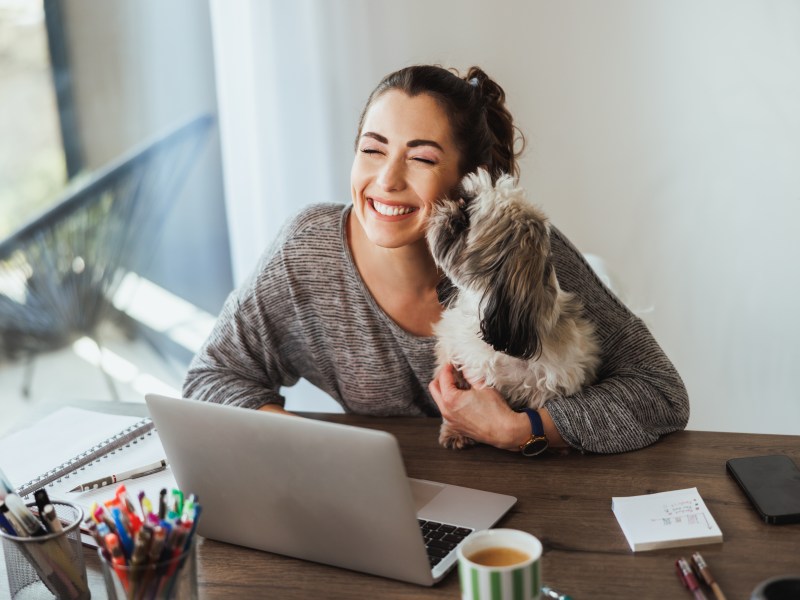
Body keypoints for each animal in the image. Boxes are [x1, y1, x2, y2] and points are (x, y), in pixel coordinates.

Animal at [428, 169, 596, 450]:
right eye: (463, 199)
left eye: (466, 217)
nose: (450, 207)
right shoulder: (455, 355)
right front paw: (455, 432)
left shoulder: (554, 380)